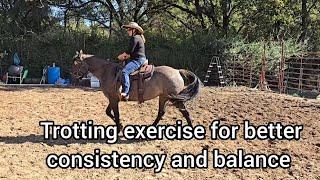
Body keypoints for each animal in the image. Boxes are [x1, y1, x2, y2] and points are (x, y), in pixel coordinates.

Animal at [72, 50, 201, 131]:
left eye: (76, 64)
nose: (73, 76)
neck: (106, 71)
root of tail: (177, 71)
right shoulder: (112, 98)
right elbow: (108, 112)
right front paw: (121, 126)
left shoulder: (113, 99)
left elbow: (116, 114)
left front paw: (119, 128)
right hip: (164, 97)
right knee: (161, 112)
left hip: (174, 99)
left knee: (185, 112)